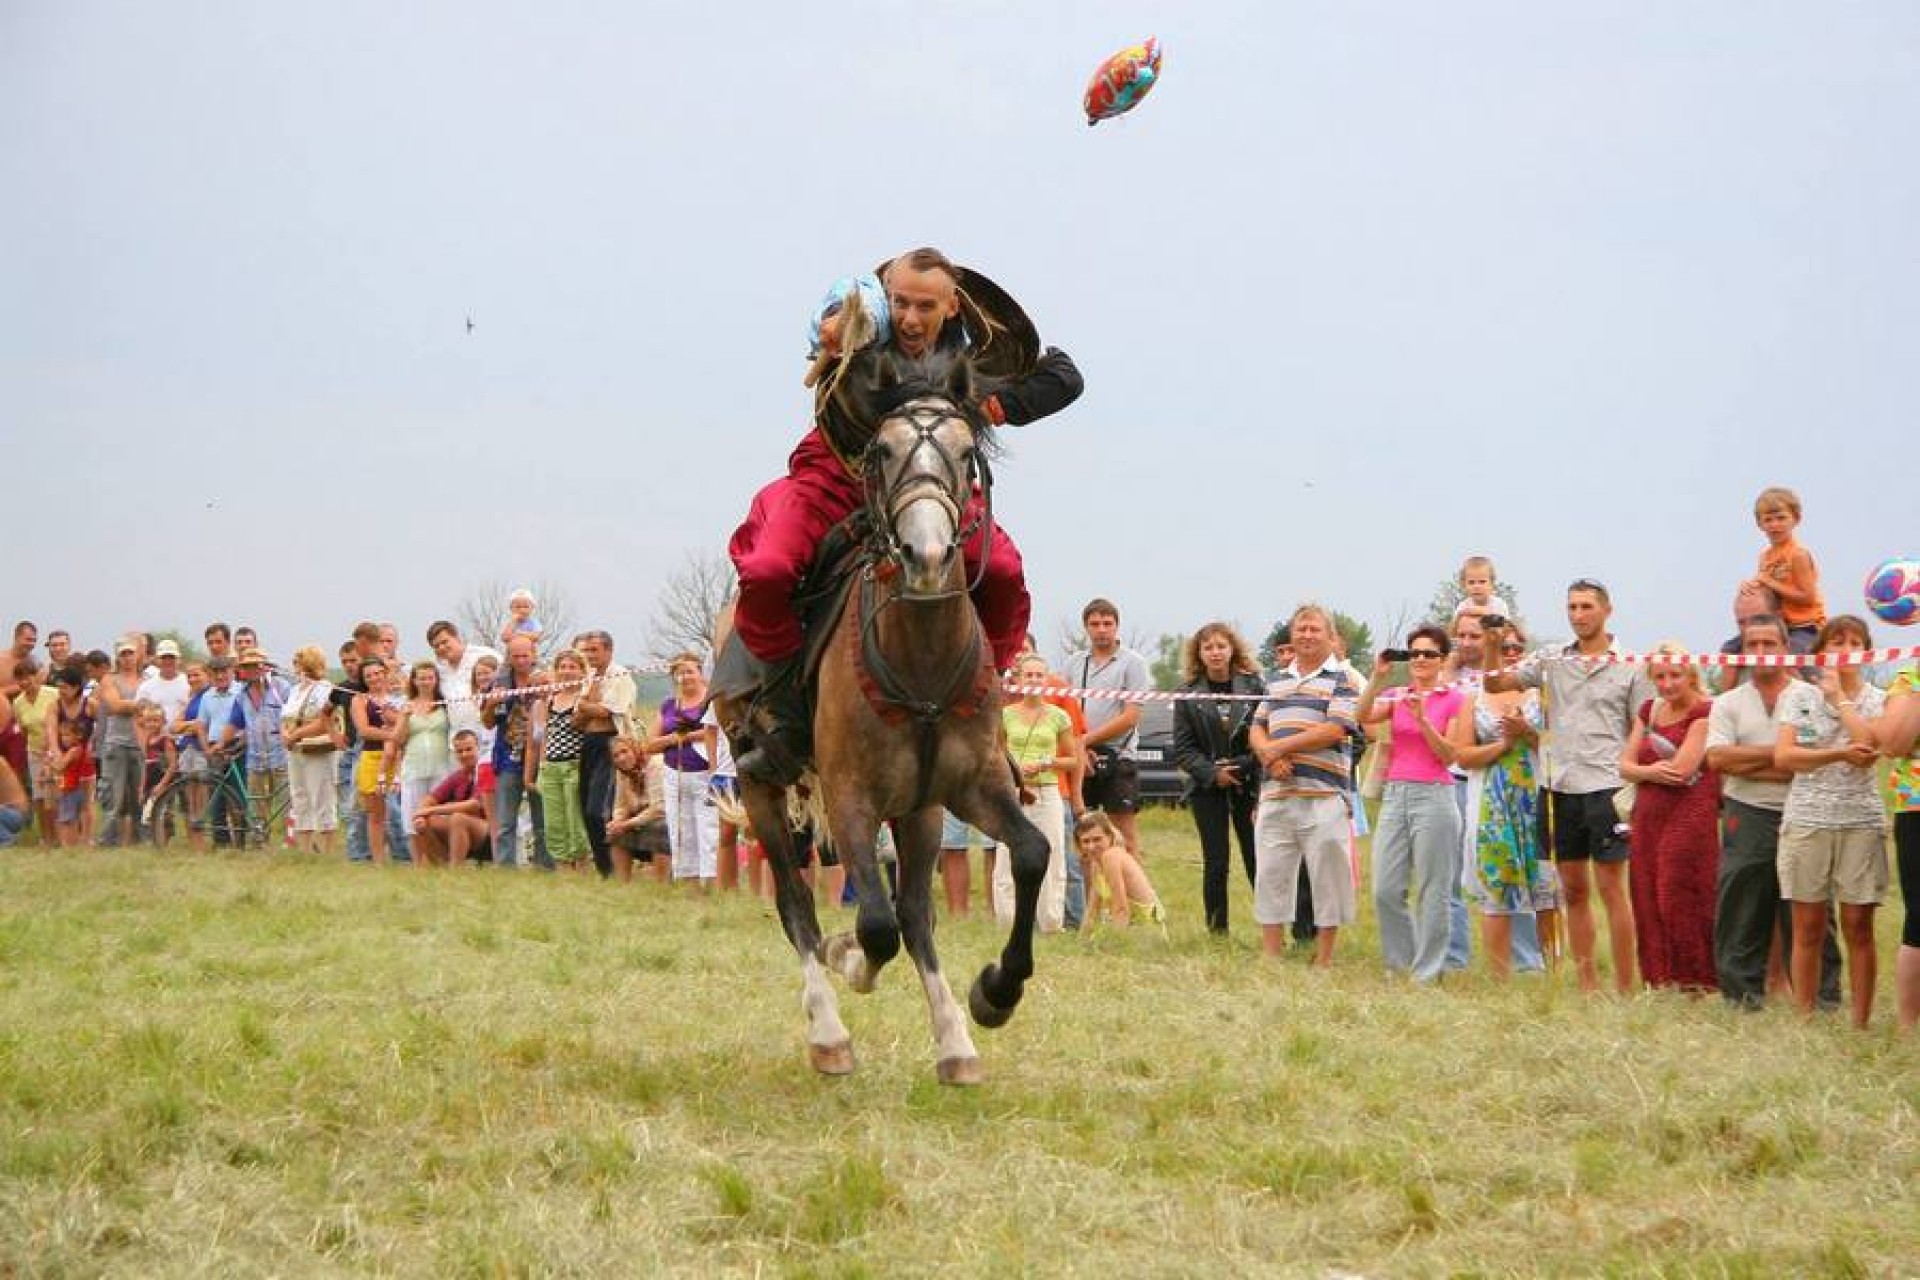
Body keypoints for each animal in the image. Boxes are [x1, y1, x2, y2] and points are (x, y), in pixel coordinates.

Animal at [718, 343, 1052, 1082]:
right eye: (884, 449)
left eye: (965, 452)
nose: (925, 555)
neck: (921, 653)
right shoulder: (849, 797)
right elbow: (871, 924)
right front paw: (849, 961)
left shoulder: (971, 786)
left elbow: (1031, 854)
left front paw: (995, 993)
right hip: (760, 786)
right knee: (798, 903)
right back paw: (828, 1032)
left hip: (920, 810)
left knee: (917, 911)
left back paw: (956, 1043)